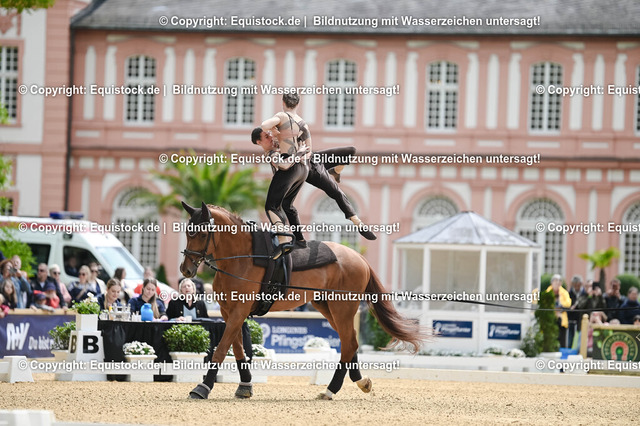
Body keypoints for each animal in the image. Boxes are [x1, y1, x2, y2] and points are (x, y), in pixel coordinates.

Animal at [179, 201, 429, 400]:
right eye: (187, 231)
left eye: (202, 234)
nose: (186, 269)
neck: (243, 257)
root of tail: (359, 257)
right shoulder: (228, 311)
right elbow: (238, 349)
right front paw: (245, 386)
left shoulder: (239, 310)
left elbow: (222, 349)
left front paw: (202, 388)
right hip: (326, 306)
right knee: (351, 342)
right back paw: (359, 382)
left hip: (342, 308)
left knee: (348, 343)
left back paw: (330, 390)